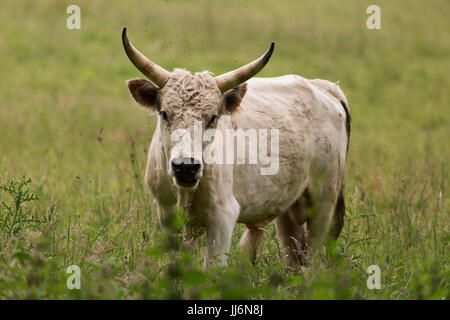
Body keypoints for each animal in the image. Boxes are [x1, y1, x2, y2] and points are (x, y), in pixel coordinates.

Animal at [121, 28, 350, 268]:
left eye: (213, 117)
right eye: (165, 113)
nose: (186, 167)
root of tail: (325, 88)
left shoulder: (222, 217)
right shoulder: (166, 214)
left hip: (324, 200)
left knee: (316, 251)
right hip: (288, 209)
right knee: (295, 253)